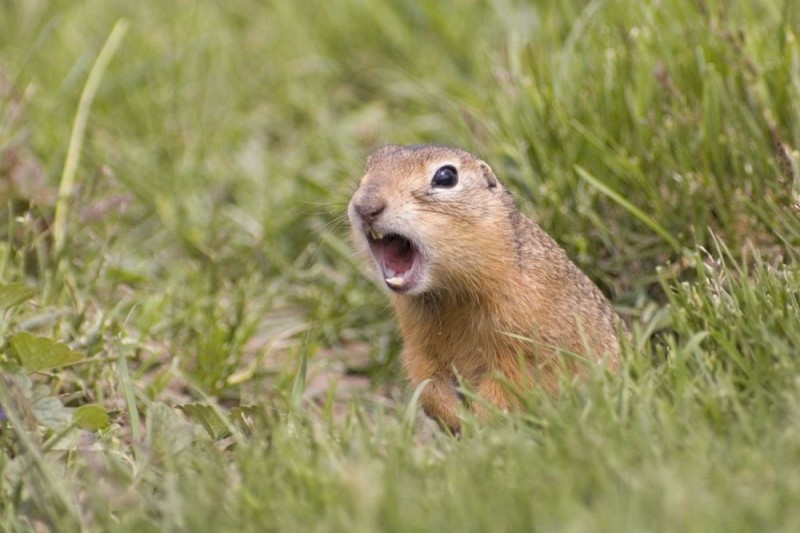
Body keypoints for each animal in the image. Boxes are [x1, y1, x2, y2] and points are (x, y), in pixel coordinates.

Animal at [348, 142, 620, 432]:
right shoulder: (418, 344)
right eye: (368, 167)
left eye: (446, 176)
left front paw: (481, 424)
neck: (450, 293)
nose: (365, 206)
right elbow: (428, 381)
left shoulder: (527, 339)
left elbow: (511, 381)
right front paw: (455, 418)